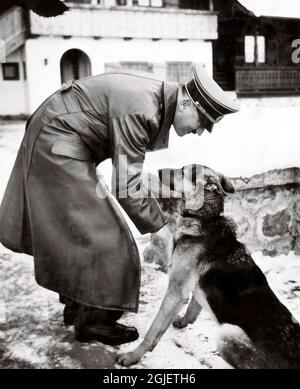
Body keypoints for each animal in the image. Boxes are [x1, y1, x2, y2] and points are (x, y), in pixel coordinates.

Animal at [117, 165, 300, 368]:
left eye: (183, 171)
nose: (158, 171)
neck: (204, 217)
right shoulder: (196, 288)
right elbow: (192, 308)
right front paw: (183, 322)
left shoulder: (176, 291)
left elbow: (153, 329)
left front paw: (133, 356)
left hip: (226, 334)